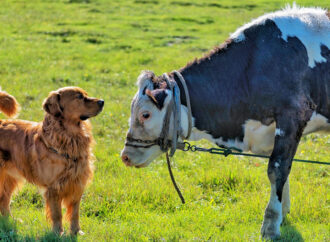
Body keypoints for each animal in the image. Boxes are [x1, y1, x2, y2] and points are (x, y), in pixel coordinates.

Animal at [0, 87, 103, 234]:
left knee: (4, 199)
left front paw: (76, 232)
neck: (69, 137)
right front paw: (58, 232)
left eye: (86, 95)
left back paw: (11, 220)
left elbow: (75, 213)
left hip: (11, 176)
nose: (102, 102)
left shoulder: (77, 183)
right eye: (79, 97)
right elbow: (57, 213)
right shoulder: (54, 187)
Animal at [121, 6, 330, 240]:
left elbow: (277, 169)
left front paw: (270, 224)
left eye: (145, 115)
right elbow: (280, 171)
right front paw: (282, 215)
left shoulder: (293, 115)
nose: (125, 156)